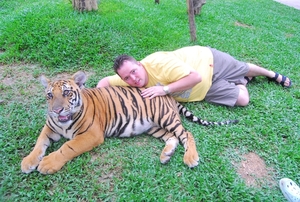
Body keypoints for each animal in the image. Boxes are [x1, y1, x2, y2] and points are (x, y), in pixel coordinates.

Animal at [20, 70, 237, 174]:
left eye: (66, 93)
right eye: (50, 95)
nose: (56, 111)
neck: (64, 123)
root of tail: (167, 94)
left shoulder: (91, 135)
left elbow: (68, 147)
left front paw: (47, 164)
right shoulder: (49, 128)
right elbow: (39, 143)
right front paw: (29, 162)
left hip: (165, 118)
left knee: (186, 134)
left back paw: (191, 158)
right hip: (154, 127)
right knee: (172, 138)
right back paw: (166, 155)